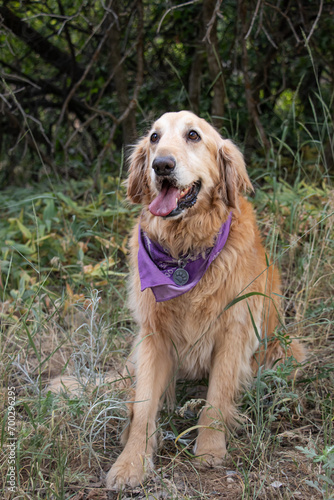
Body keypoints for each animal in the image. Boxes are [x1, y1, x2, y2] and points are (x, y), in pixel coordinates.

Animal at [106, 111, 306, 490]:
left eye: (193, 136)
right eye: (154, 137)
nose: (161, 165)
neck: (185, 251)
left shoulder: (234, 331)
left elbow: (216, 398)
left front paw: (210, 448)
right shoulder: (152, 337)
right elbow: (144, 405)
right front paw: (131, 463)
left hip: (287, 351)